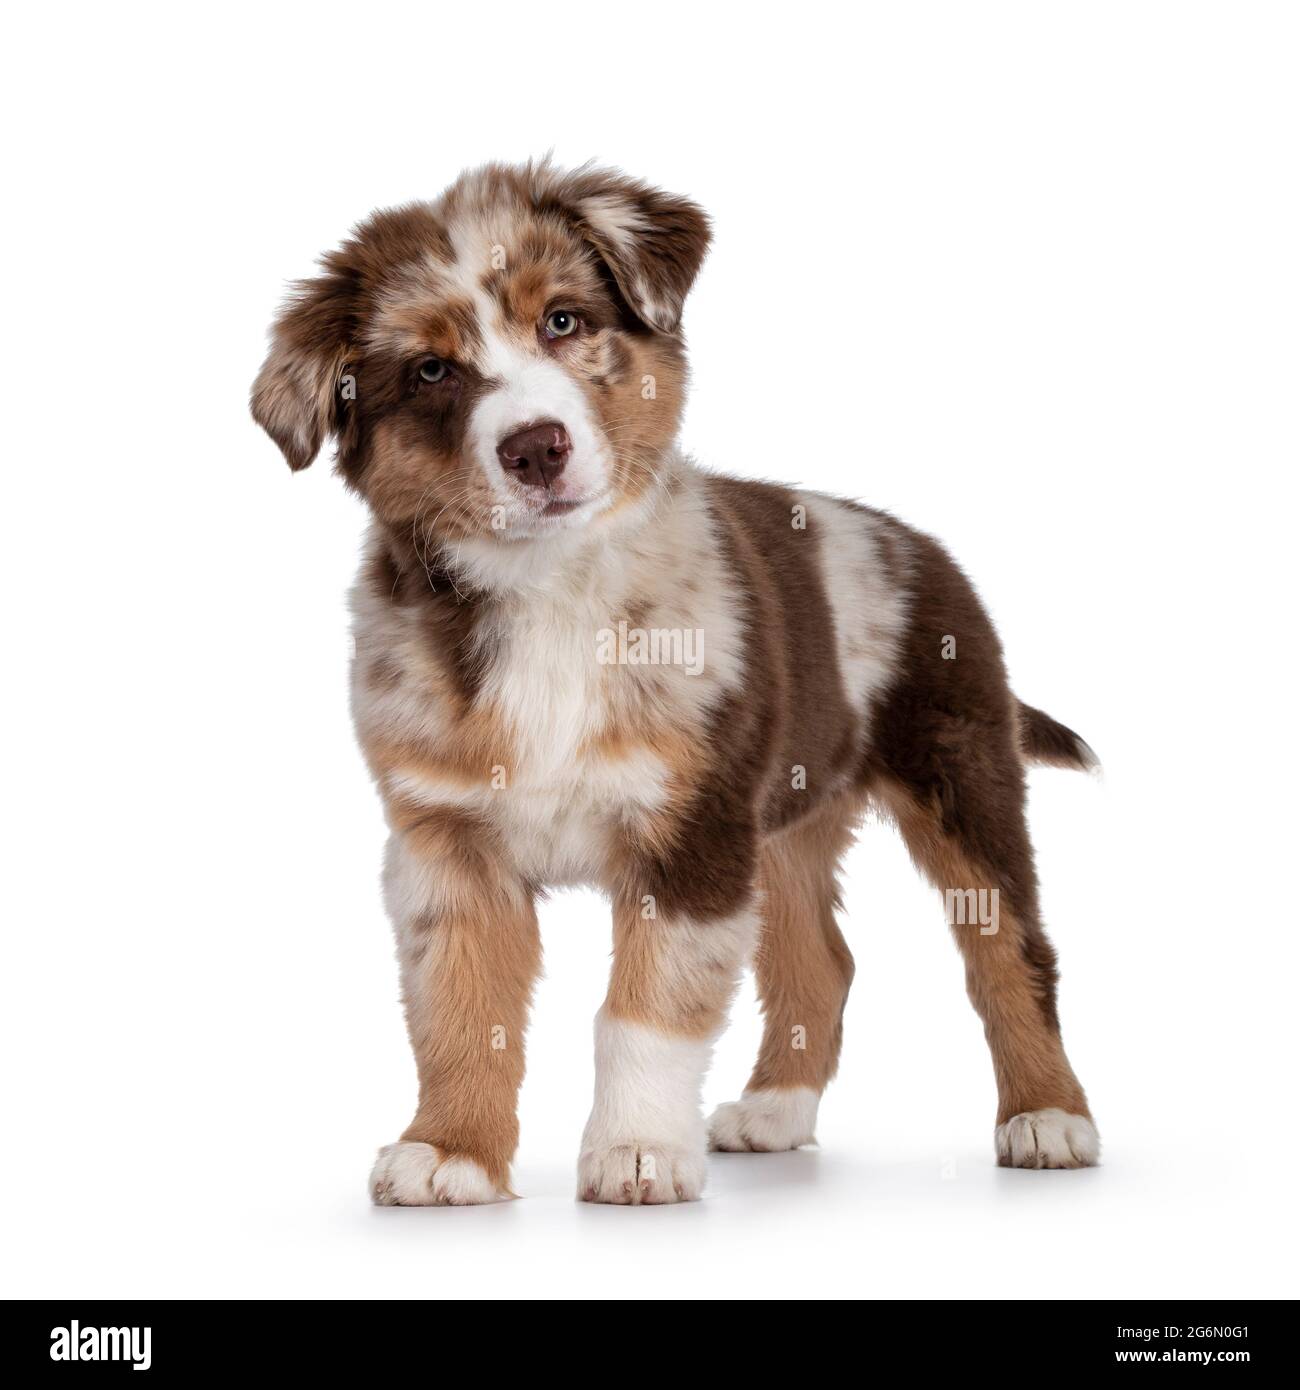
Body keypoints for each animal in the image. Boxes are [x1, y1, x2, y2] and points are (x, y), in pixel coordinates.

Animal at [246, 159, 1095, 1206]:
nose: (536, 448)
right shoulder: (445, 842)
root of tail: (921, 548)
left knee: (1012, 950)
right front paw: (451, 1150)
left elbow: (643, 1011)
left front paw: (637, 1151)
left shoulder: (688, 834)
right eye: (431, 372)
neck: (549, 591)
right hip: (785, 820)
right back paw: (776, 1113)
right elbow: (459, 1011)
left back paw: (1049, 1118)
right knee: (823, 960)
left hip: (961, 774)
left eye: (563, 321)